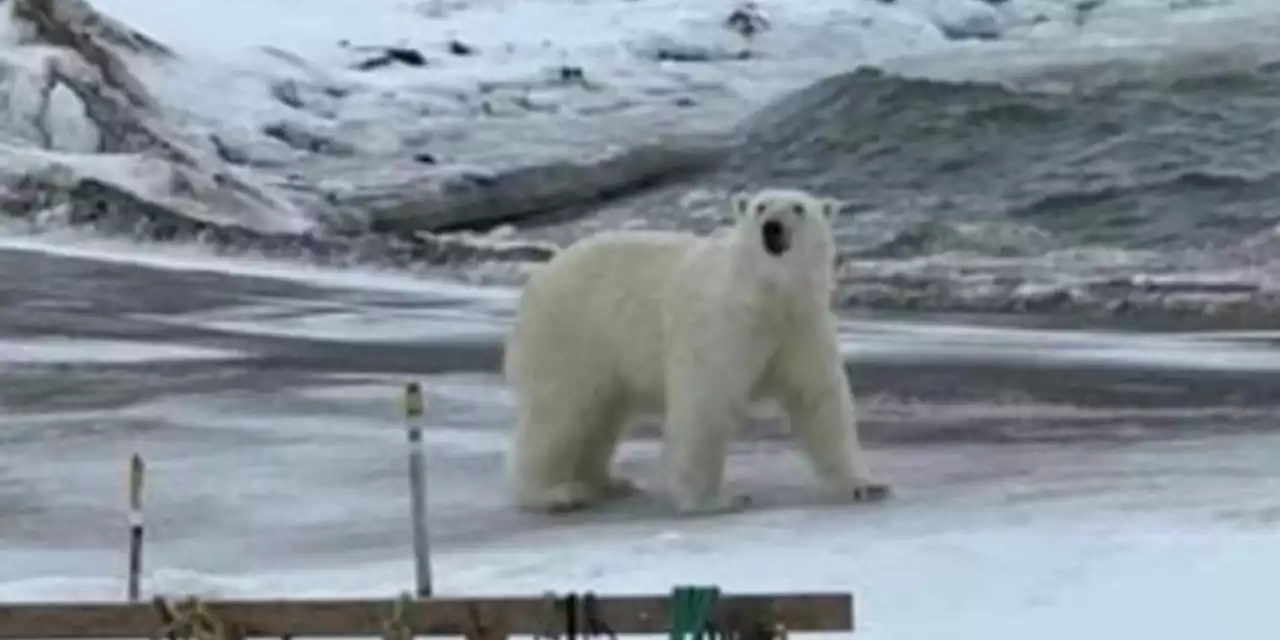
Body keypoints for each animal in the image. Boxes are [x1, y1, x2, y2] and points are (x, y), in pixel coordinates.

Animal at [499, 186, 890, 514]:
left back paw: (609, 483)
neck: (765, 298)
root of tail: (539, 278)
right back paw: (555, 493)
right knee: (560, 413)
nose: (773, 227)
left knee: (601, 417)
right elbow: (706, 402)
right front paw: (716, 500)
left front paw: (866, 486)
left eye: (798, 208)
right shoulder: (722, 327)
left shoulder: (802, 327)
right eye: (760, 207)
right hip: (574, 334)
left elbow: (820, 400)